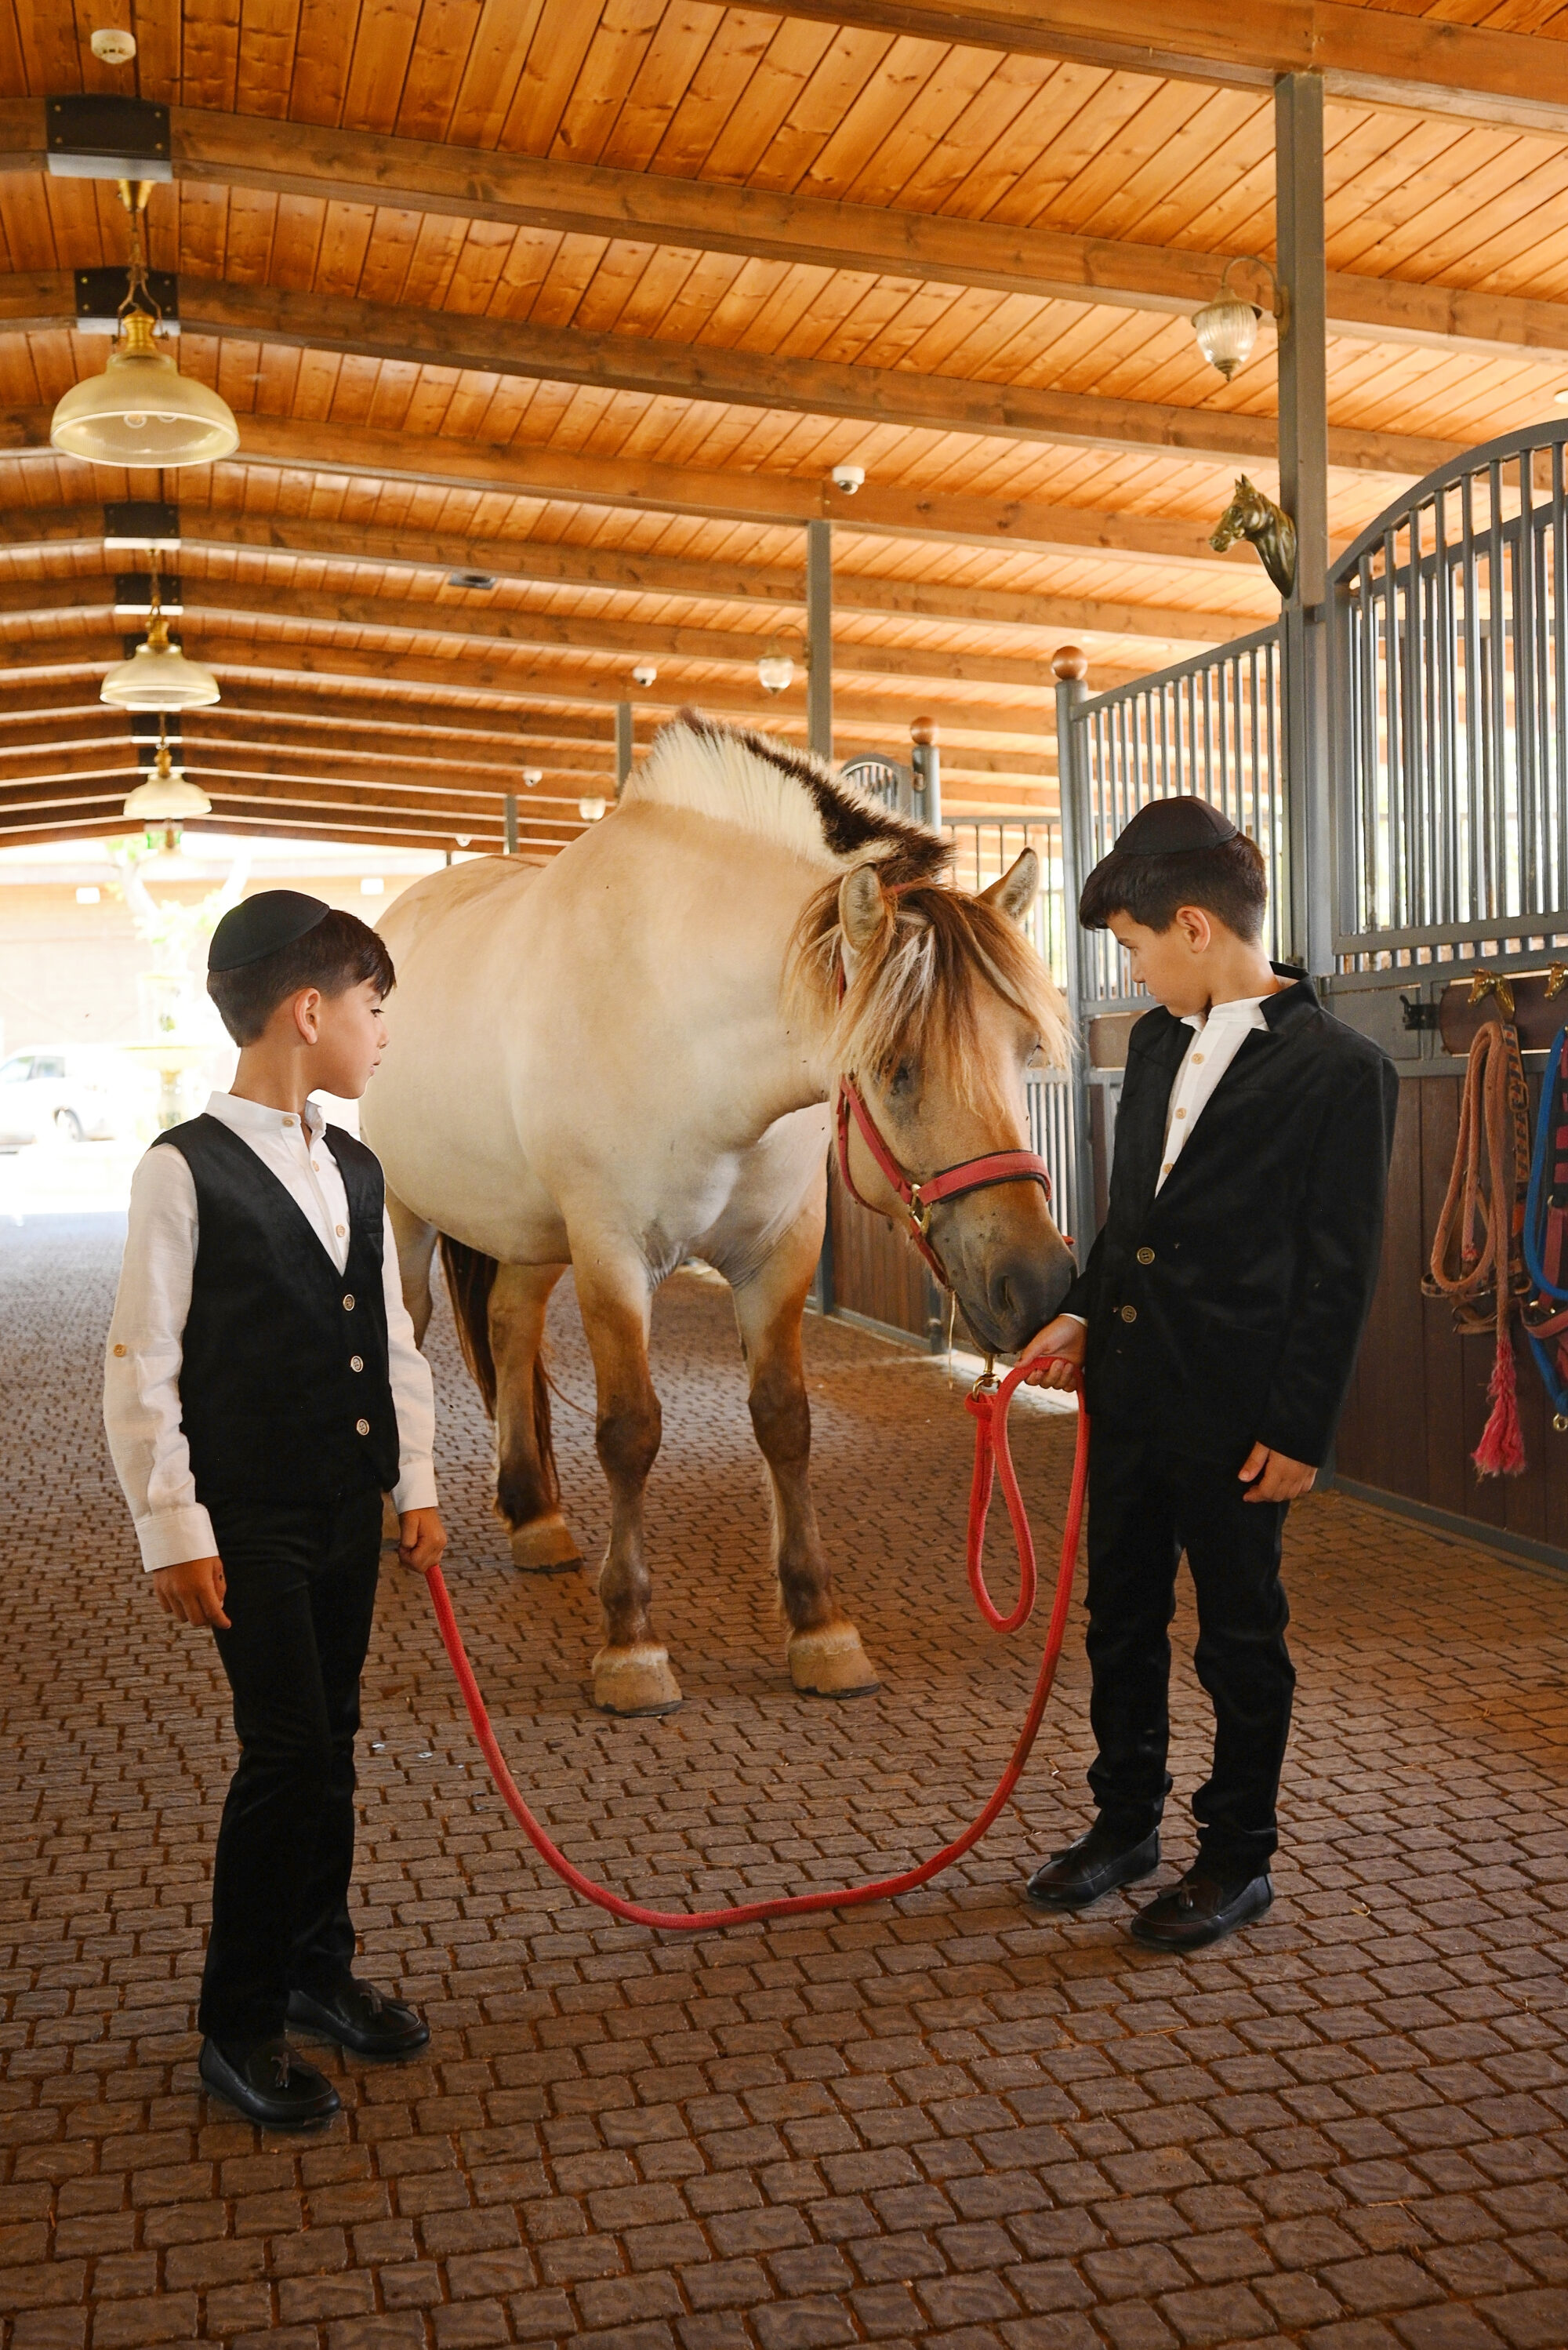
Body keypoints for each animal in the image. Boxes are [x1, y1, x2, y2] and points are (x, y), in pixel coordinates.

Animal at [366, 705, 1081, 1720]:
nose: (1039, 1282)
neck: (673, 1015)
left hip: (529, 1237)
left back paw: (536, 1518)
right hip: (407, 1214)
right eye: (895, 1067)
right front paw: (631, 1645)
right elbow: (628, 1432)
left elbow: (784, 1420)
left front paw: (820, 1628)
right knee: (413, 1329)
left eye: (1024, 1048)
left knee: (507, 1329)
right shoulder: (613, 1255)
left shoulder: (776, 1254)